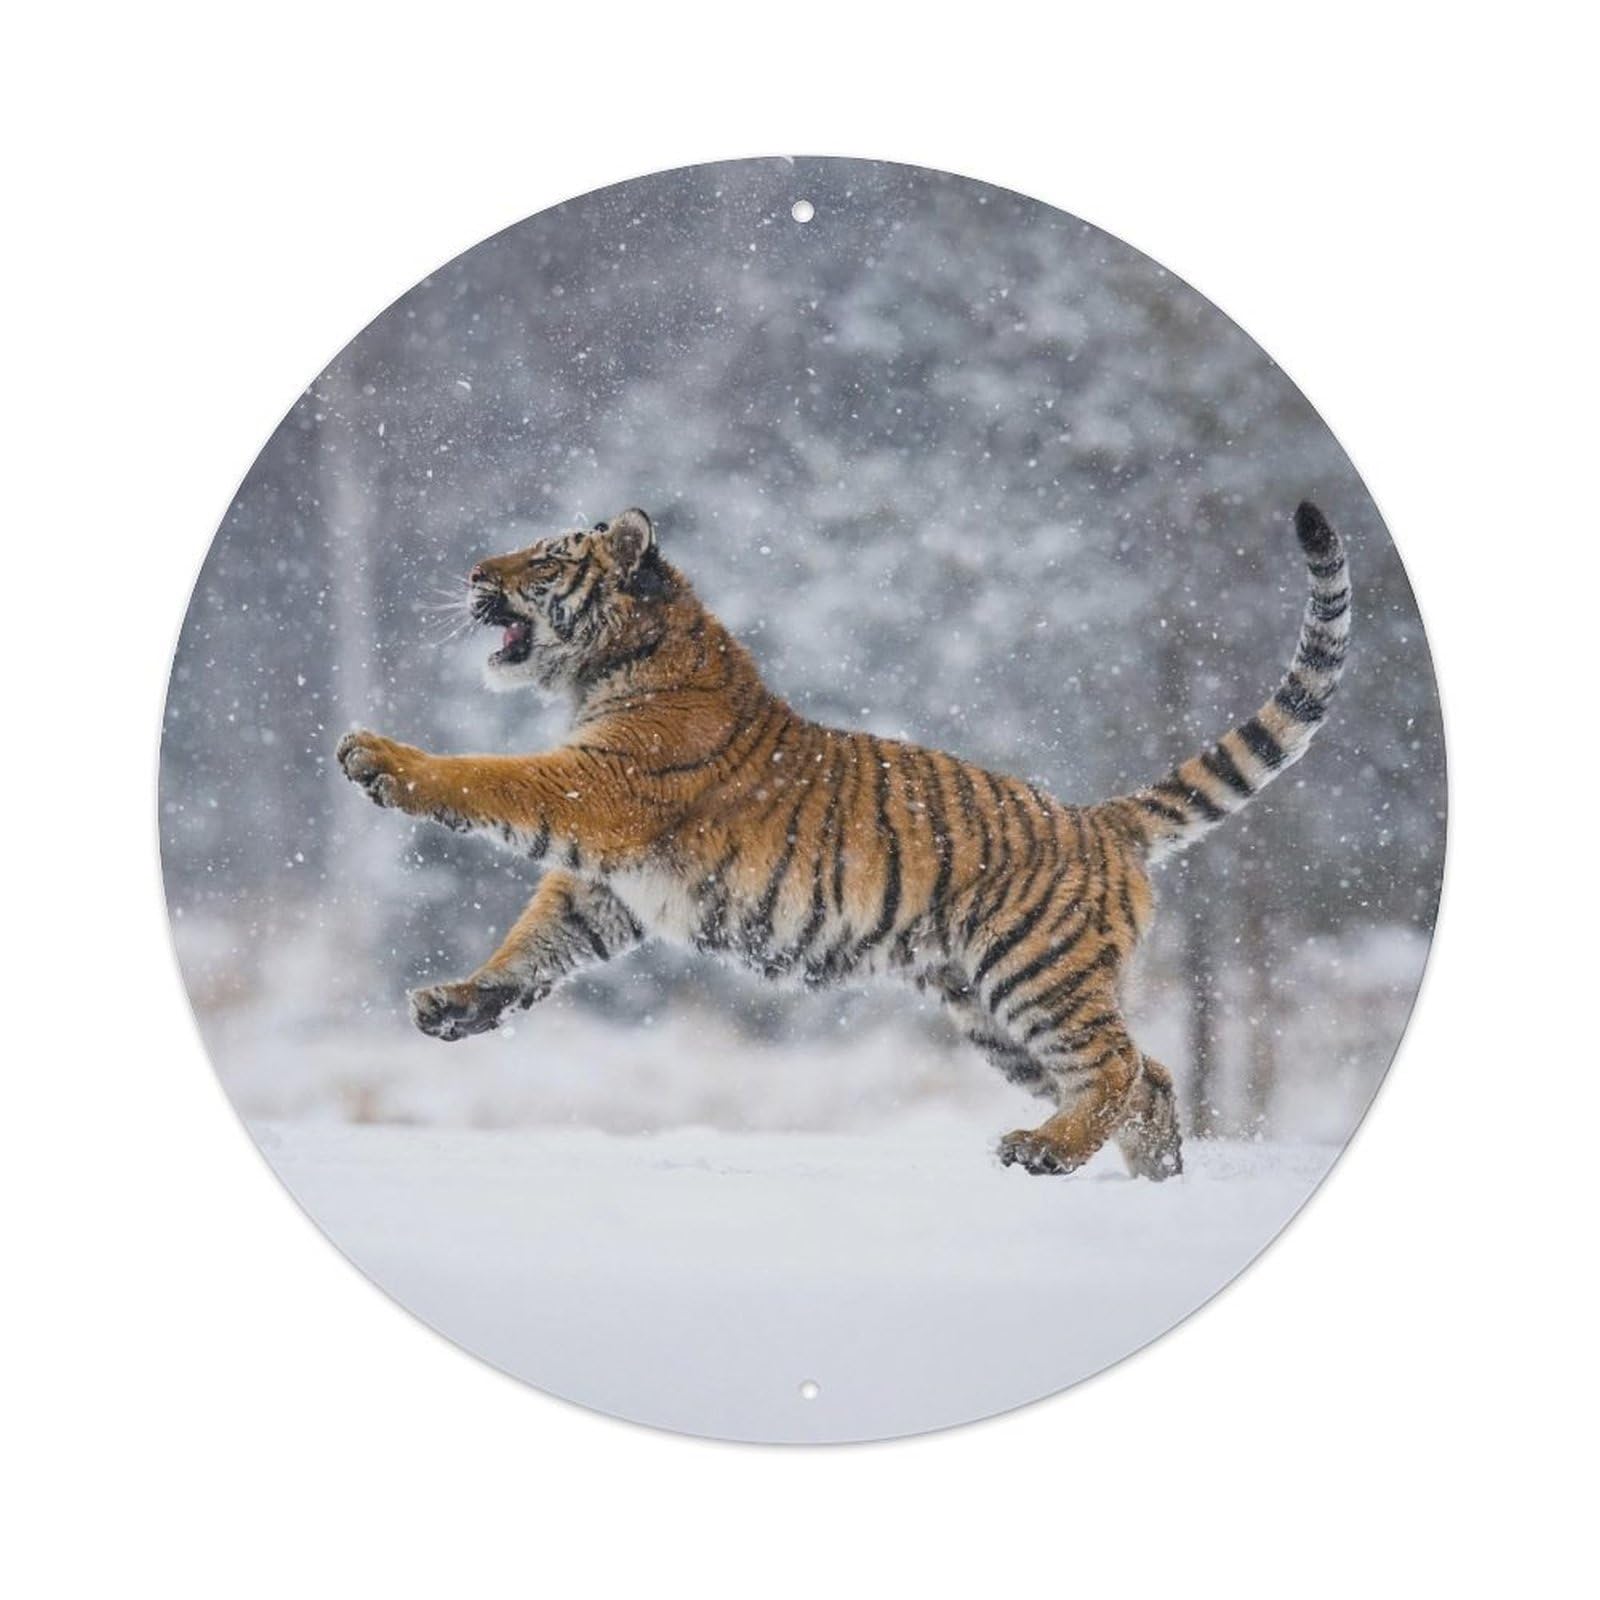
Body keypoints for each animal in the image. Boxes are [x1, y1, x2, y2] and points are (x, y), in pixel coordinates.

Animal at [336, 501, 1349, 1179]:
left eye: (545, 559)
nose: (474, 572)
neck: (613, 665)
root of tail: (1099, 818)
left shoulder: (599, 791)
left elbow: (484, 777)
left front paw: (379, 757)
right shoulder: (609, 883)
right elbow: (537, 939)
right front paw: (461, 1002)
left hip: (1035, 975)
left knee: (1120, 1062)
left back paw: (1045, 1153)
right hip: (993, 1013)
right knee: (1154, 1073)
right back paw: (1153, 1177)